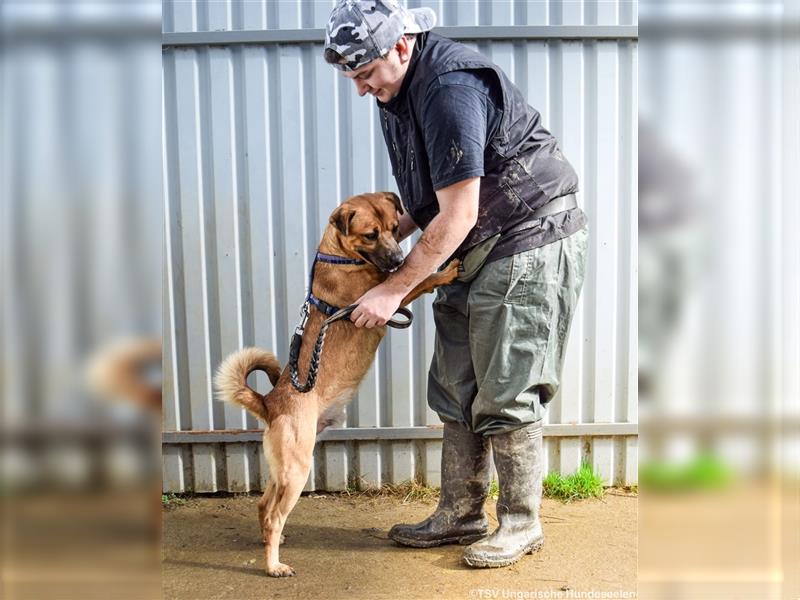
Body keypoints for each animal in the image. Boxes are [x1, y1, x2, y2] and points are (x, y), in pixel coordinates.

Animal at [216, 193, 460, 576]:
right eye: (370, 235)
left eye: (394, 228)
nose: (398, 261)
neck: (340, 255)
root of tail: (269, 402)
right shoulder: (384, 298)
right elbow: (418, 282)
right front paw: (443, 271)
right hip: (297, 470)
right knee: (274, 515)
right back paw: (274, 565)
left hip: (283, 469)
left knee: (263, 506)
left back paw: (273, 542)